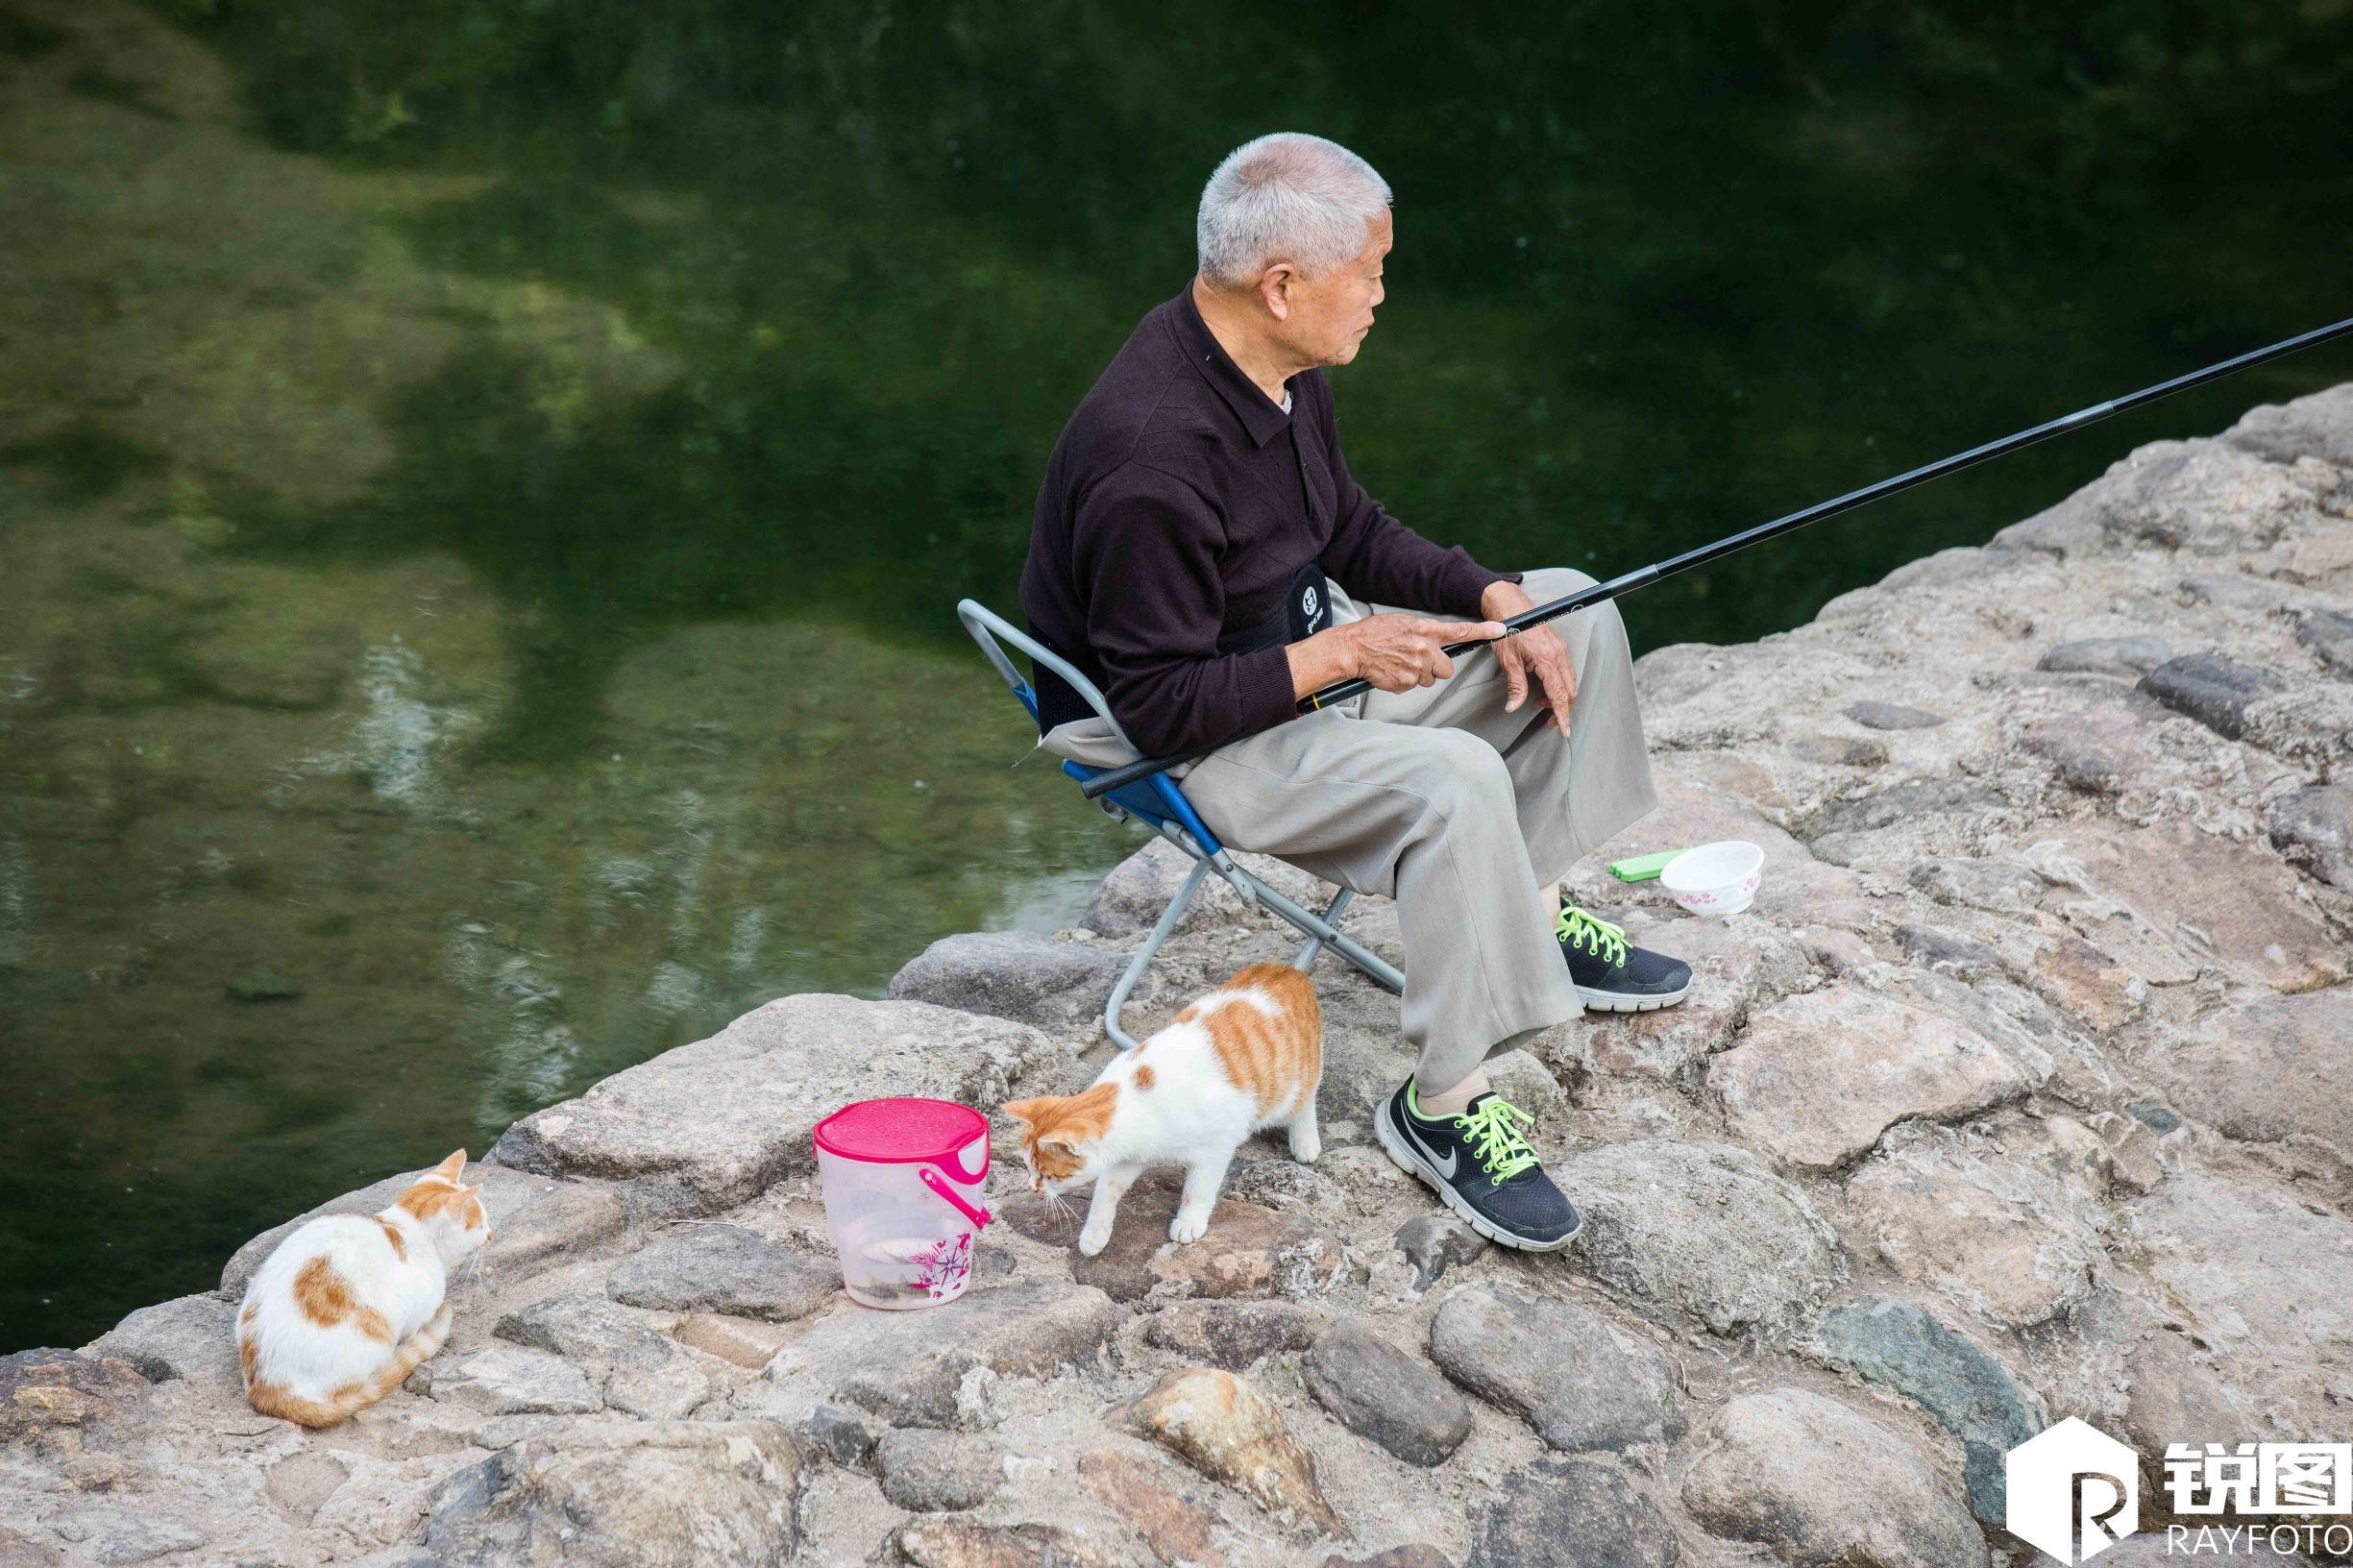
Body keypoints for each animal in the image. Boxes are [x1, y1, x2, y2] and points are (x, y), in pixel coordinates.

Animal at [997, 960, 1317, 1252]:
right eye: (1027, 1167)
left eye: (1048, 1175)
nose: (1032, 1189)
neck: (1138, 1101)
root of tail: (1288, 969)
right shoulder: (1127, 1156)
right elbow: (1105, 1192)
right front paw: (1095, 1234)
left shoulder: (1217, 1146)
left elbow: (1198, 1189)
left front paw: (1188, 1222)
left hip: (1288, 1088)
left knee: (1306, 1101)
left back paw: (1306, 1141)